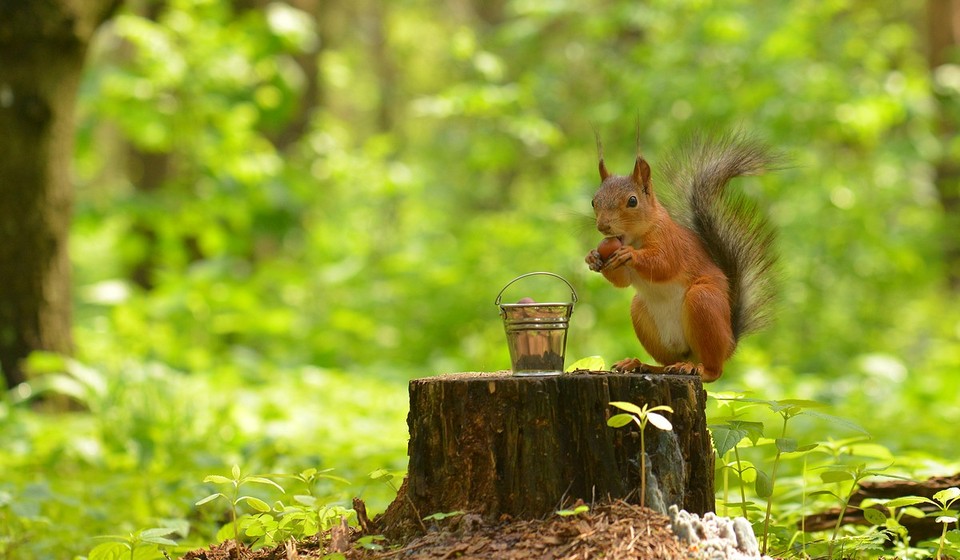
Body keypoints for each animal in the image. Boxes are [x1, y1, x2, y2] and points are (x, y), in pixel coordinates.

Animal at [584, 133, 780, 382]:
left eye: (632, 201)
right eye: (594, 201)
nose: (603, 226)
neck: (635, 238)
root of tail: (729, 343)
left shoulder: (672, 244)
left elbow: (663, 265)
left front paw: (631, 255)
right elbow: (622, 281)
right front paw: (593, 258)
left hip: (704, 302)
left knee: (714, 371)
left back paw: (697, 369)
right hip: (642, 314)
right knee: (668, 362)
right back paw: (642, 365)